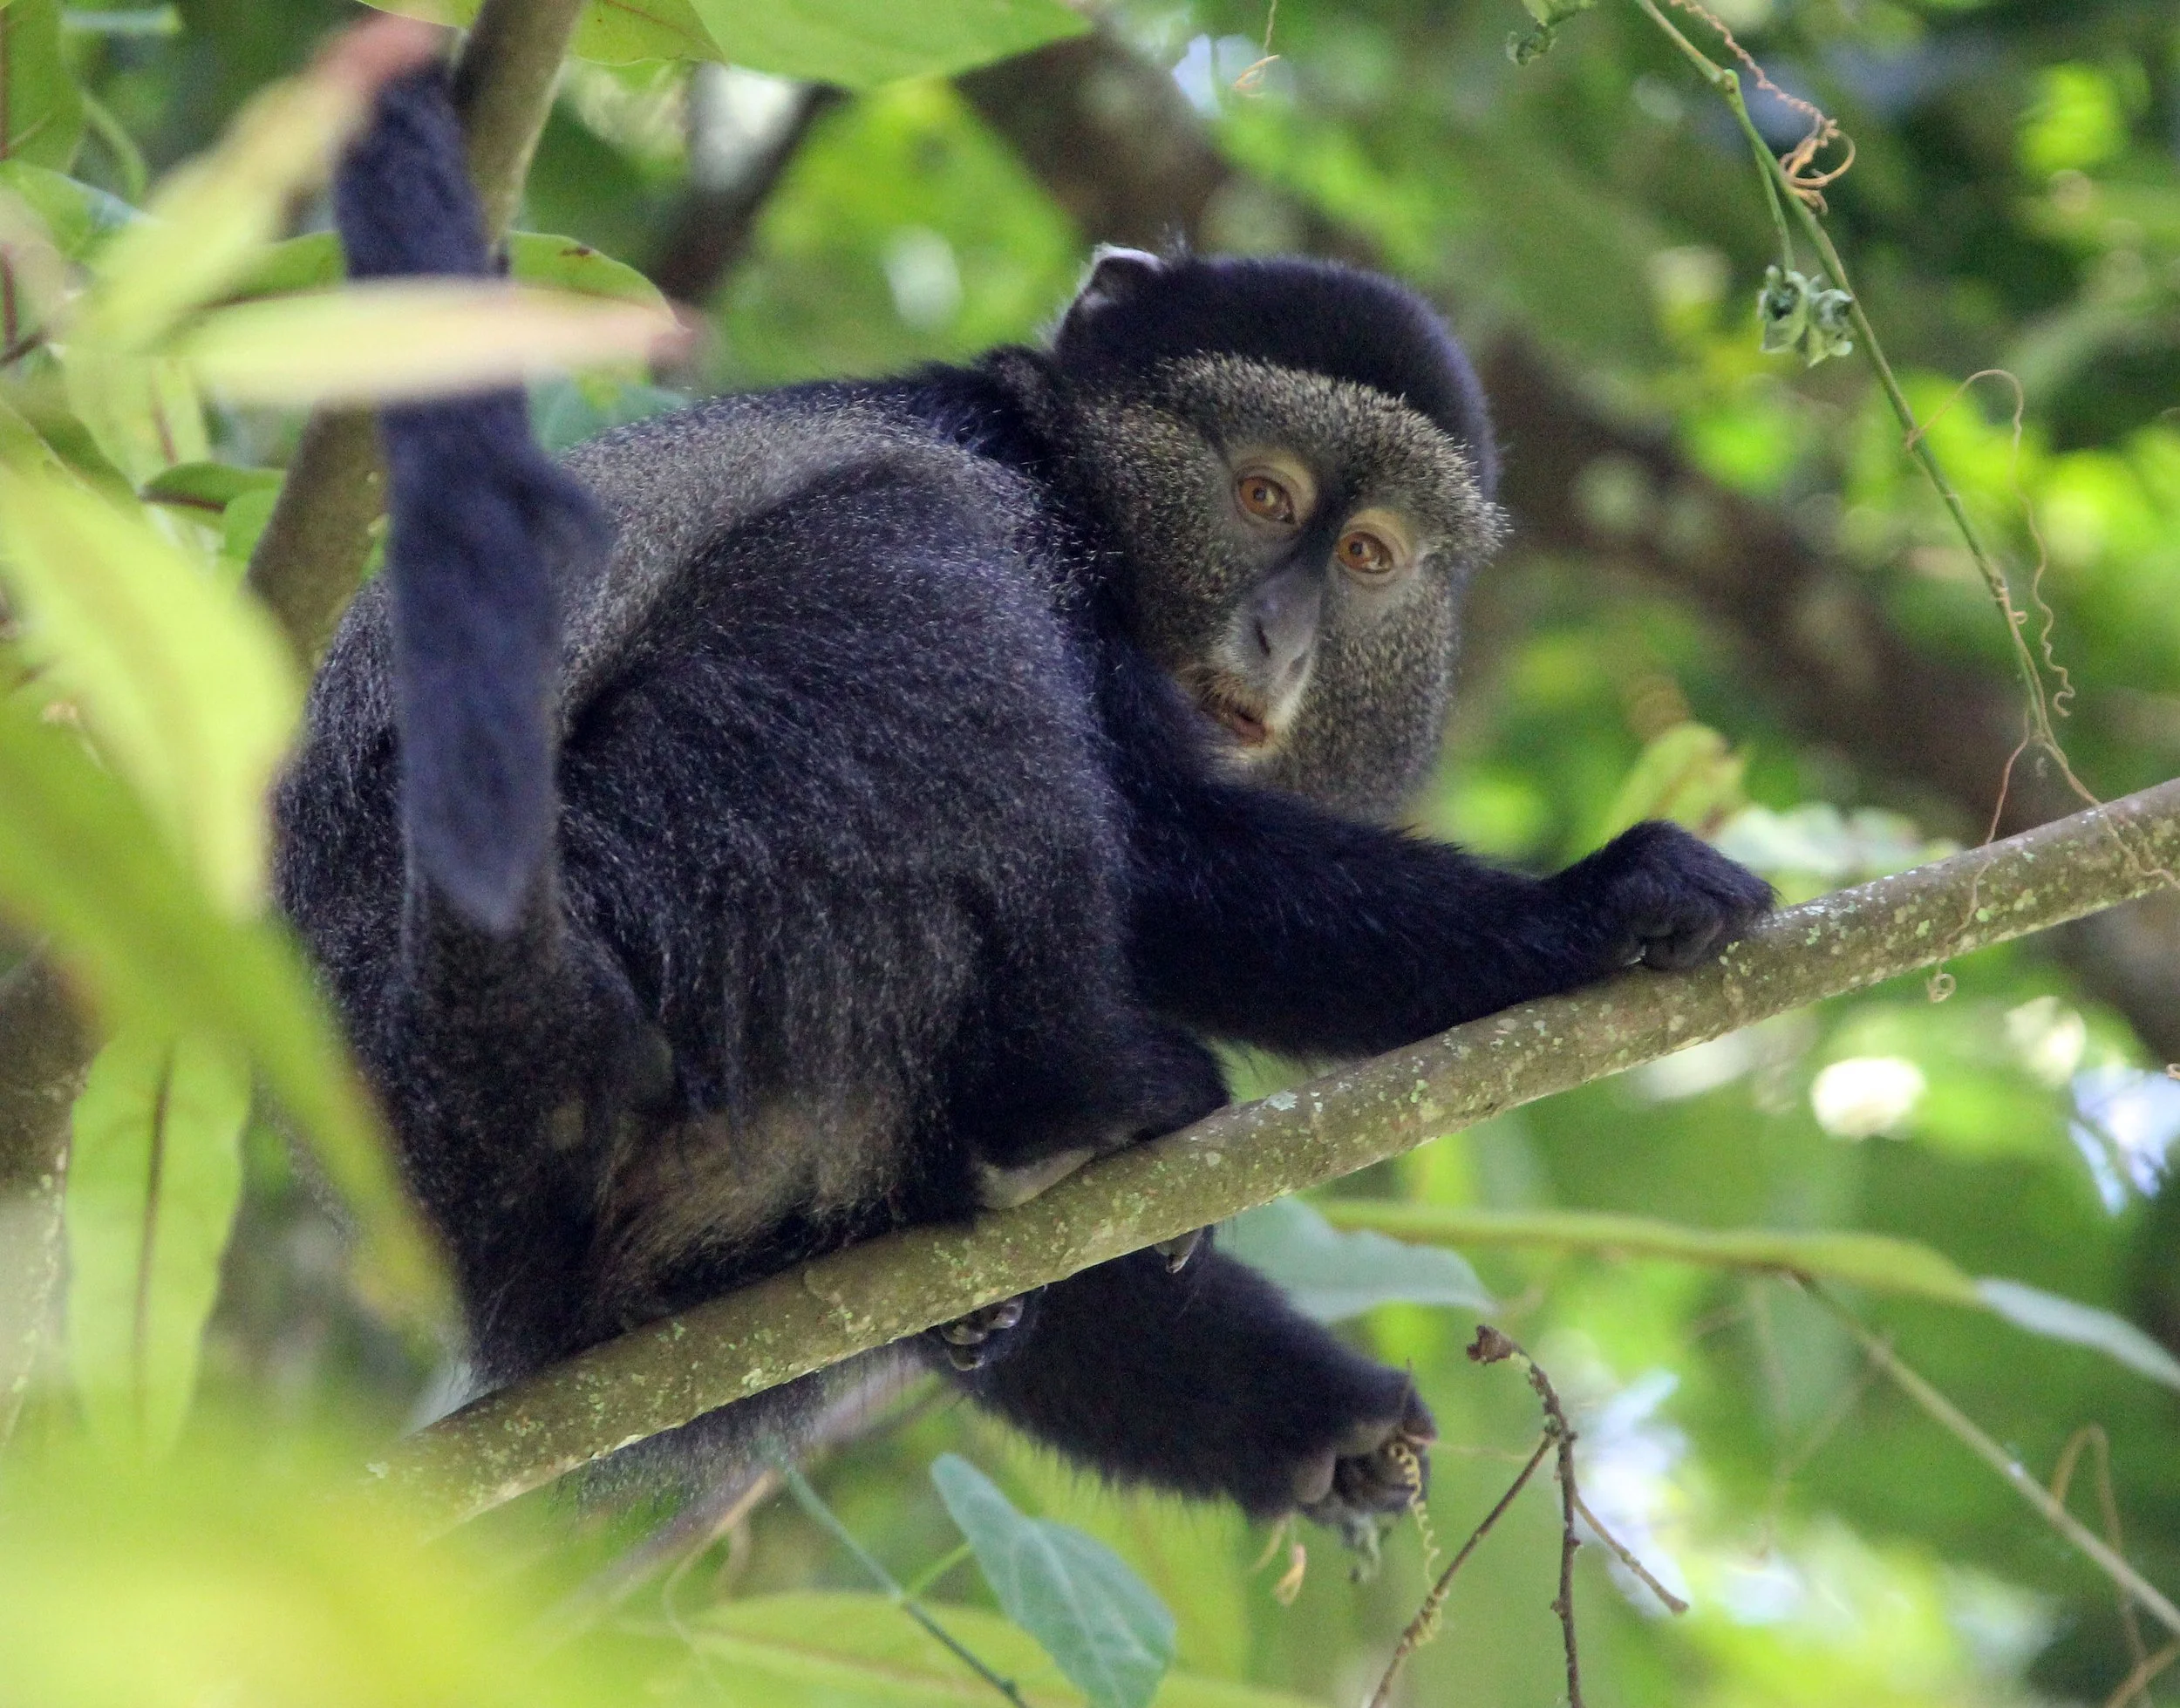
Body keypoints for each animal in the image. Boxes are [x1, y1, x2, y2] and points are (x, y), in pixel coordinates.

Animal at [273, 69, 1772, 1539]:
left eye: (1368, 556)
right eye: (1260, 492)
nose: (1282, 638)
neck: (1082, 483)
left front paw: (1315, 1420)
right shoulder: (1023, 508)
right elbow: (1159, 853)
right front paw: (1597, 902)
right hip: (668, 871)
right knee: (902, 539)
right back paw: (1070, 1102)